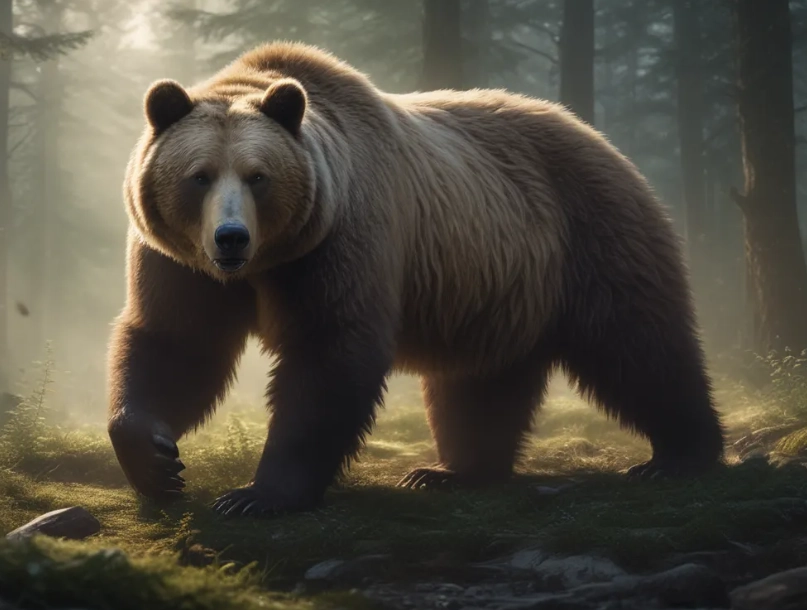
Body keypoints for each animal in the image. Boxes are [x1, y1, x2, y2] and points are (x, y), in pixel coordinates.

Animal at [107, 41, 725, 517]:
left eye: (258, 176)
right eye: (200, 176)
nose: (230, 237)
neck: (265, 265)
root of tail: (598, 136)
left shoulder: (341, 240)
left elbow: (329, 353)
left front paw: (258, 494)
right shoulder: (182, 264)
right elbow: (176, 343)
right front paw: (157, 462)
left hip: (589, 232)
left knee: (637, 344)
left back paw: (680, 456)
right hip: (496, 286)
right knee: (481, 383)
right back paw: (452, 471)